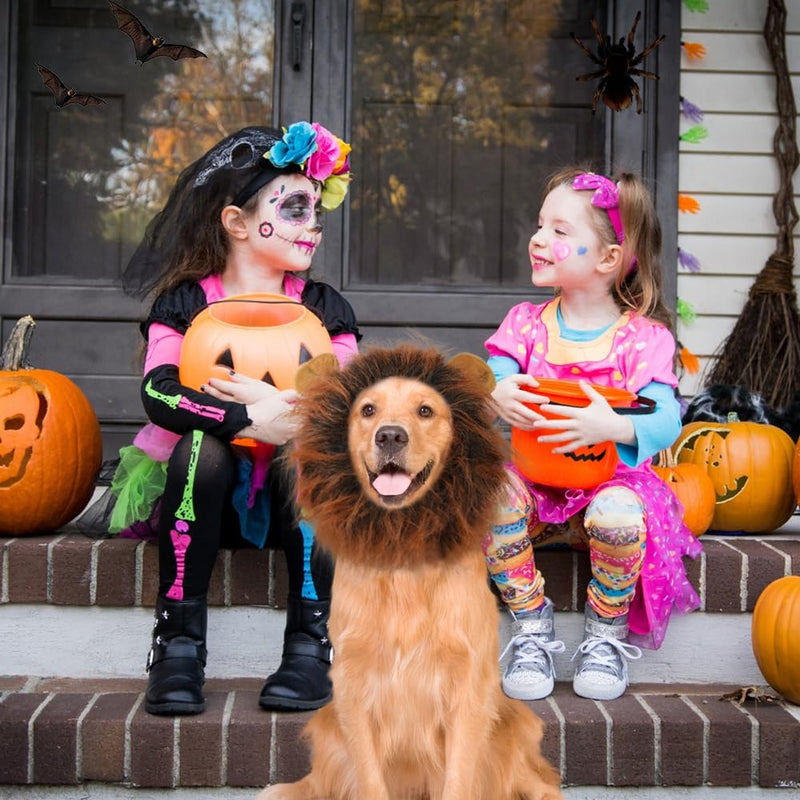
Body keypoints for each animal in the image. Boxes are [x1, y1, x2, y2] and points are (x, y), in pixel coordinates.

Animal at [258, 346, 564, 800]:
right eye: (367, 410)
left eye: (425, 410)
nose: (390, 436)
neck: (402, 541)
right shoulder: (353, 686)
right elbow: (369, 780)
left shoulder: (467, 686)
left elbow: (459, 780)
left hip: (512, 728)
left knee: (538, 783)